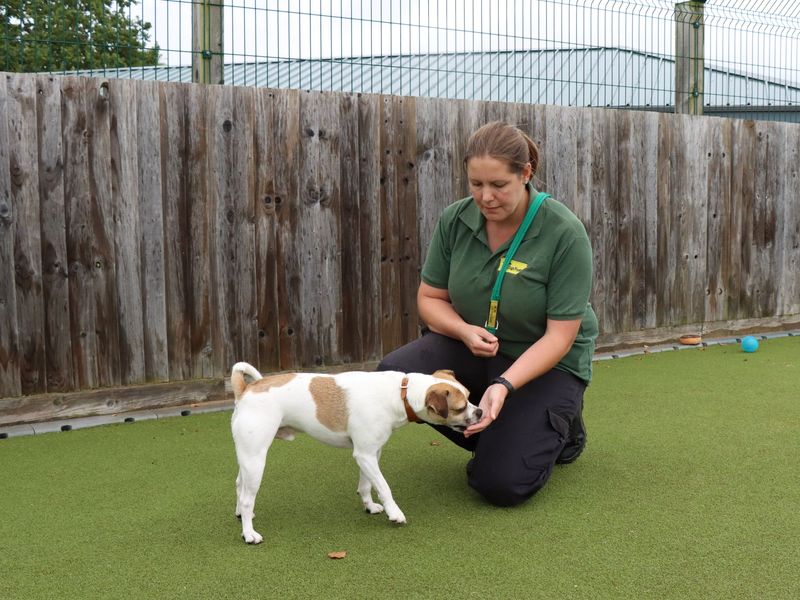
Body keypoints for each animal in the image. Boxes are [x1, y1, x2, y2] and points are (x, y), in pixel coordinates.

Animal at [230, 360, 482, 544]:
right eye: (460, 408)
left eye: (470, 396)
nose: (480, 412)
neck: (400, 393)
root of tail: (246, 389)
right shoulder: (365, 455)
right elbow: (384, 487)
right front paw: (394, 513)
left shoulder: (370, 454)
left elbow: (367, 485)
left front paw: (369, 506)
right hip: (256, 459)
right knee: (247, 498)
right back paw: (249, 533)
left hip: (248, 458)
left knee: (240, 485)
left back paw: (243, 517)